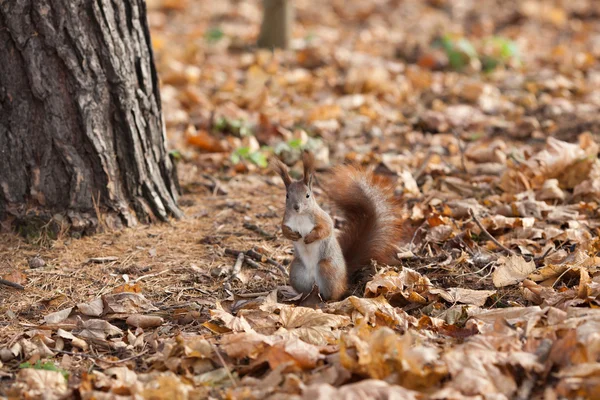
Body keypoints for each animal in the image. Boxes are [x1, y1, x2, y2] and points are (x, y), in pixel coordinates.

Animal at [274, 152, 408, 302]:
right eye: (287, 196)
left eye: (308, 195)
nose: (296, 207)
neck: (300, 216)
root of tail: (344, 278)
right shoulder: (286, 221)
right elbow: (284, 230)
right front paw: (292, 235)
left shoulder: (322, 218)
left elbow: (325, 229)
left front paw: (310, 237)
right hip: (297, 271)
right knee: (305, 291)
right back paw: (297, 294)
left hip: (327, 269)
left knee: (335, 293)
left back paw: (329, 299)